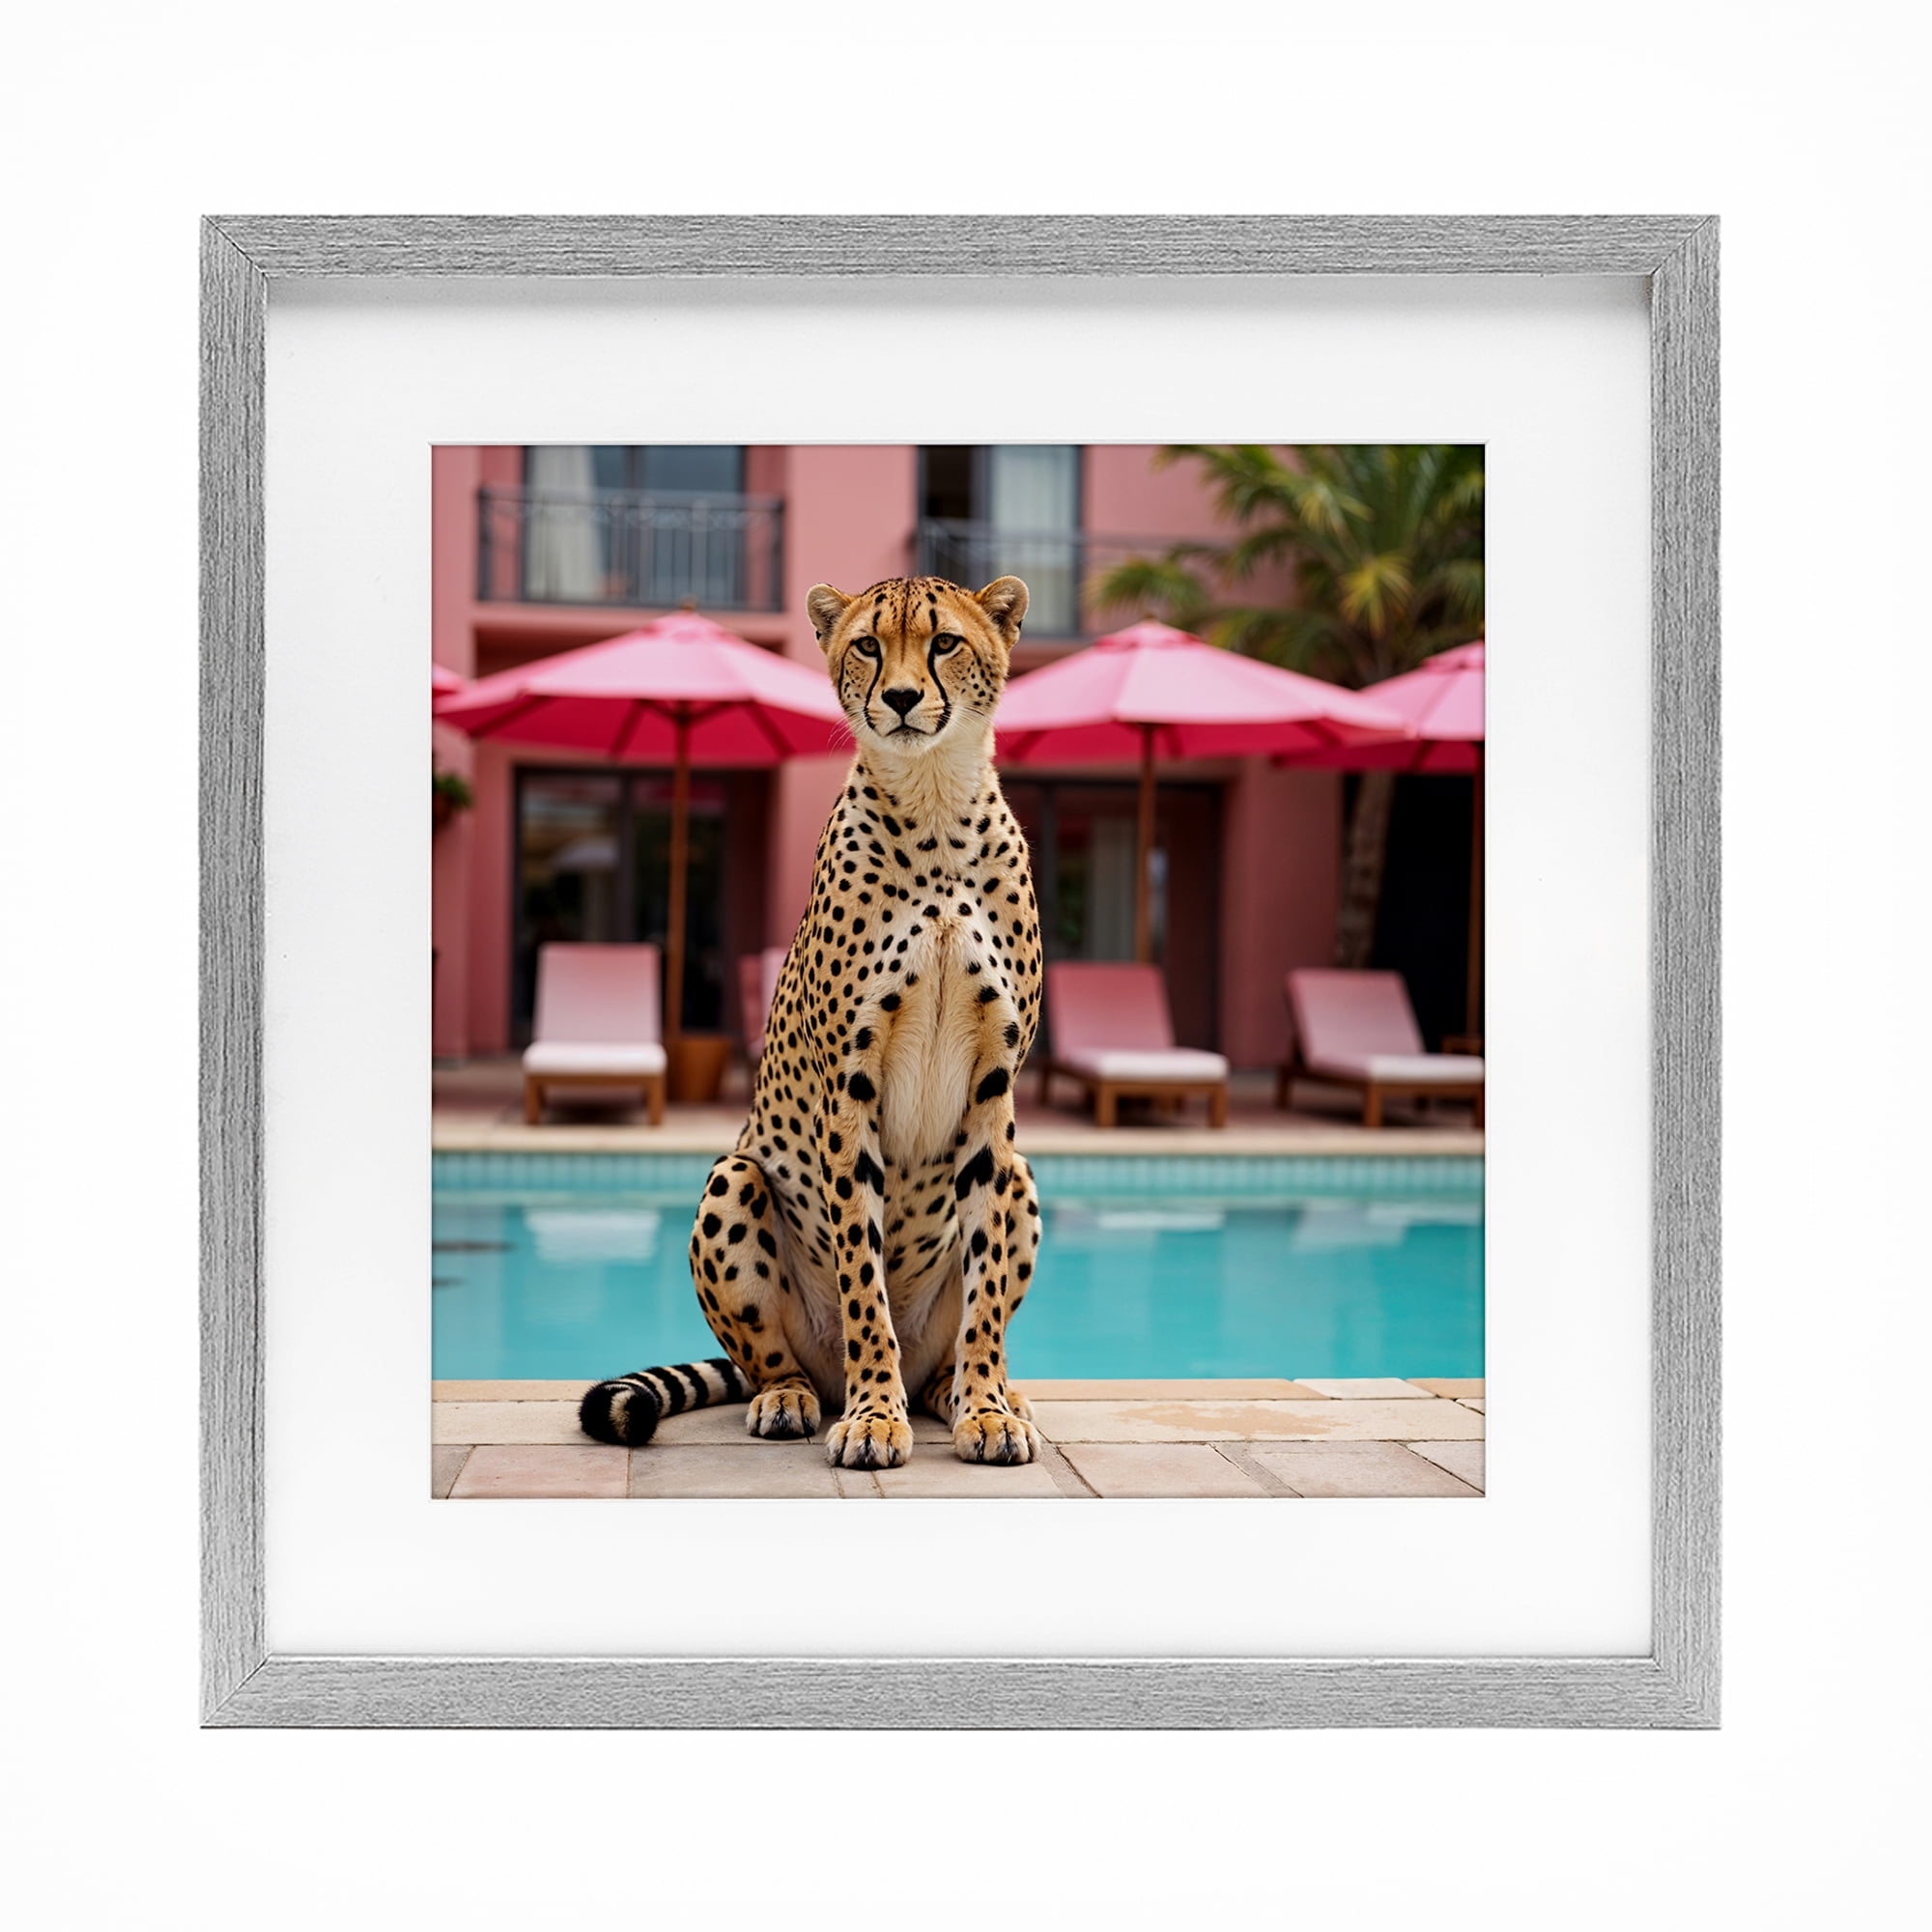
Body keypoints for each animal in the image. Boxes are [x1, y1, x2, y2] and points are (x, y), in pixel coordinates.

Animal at [579, 574, 1046, 1468]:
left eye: (944, 643)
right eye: (867, 645)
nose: (899, 698)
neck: (935, 803)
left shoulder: (995, 1092)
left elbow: (986, 1289)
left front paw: (985, 1407)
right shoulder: (849, 1089)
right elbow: (863, 1280)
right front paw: (873, 1416)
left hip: (1026, 1179)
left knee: (966, 1323)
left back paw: (972, 1391)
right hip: (735, 1177)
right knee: (771, 1357)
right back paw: (796, 1397)